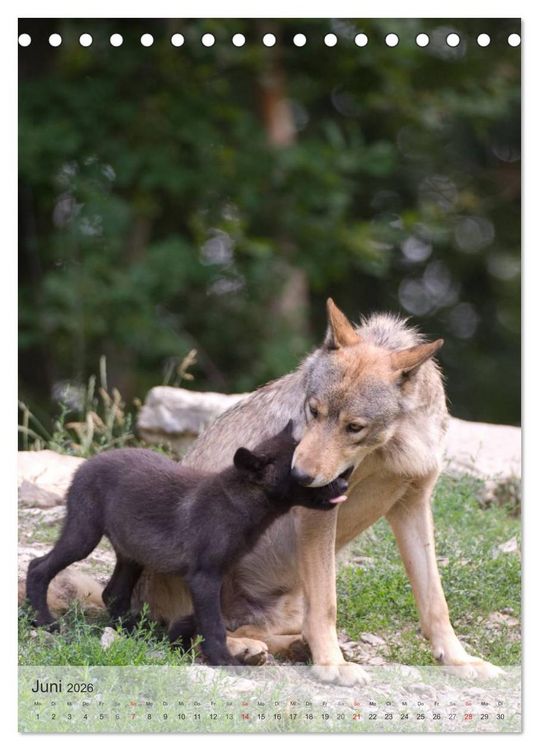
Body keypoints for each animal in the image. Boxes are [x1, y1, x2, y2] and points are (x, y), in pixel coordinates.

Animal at [25, 423, 347, 665]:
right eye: (297, 468)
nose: (344, 484)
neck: (237, 503)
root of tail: (86, 465)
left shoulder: (216, 577)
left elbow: (205, 618)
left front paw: (178, 640)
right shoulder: (204, 576)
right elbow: (214, 624)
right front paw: (223, 660)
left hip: (131, 554)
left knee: (113, 594)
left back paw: (134, 631)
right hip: (83, 535)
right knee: (38, 567)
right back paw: (43, 621)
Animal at [132, 299, 501, 683]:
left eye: (354, 427)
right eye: (313, 411)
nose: (296, 475)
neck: (393, 445)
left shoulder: (413, 504)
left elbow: (435, 601)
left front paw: (459, 661)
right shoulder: (319, 514)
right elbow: (327, 603)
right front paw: (333, 665)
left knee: (250, 628)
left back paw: (291, 647)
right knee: (187, 634)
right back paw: (248, 650)